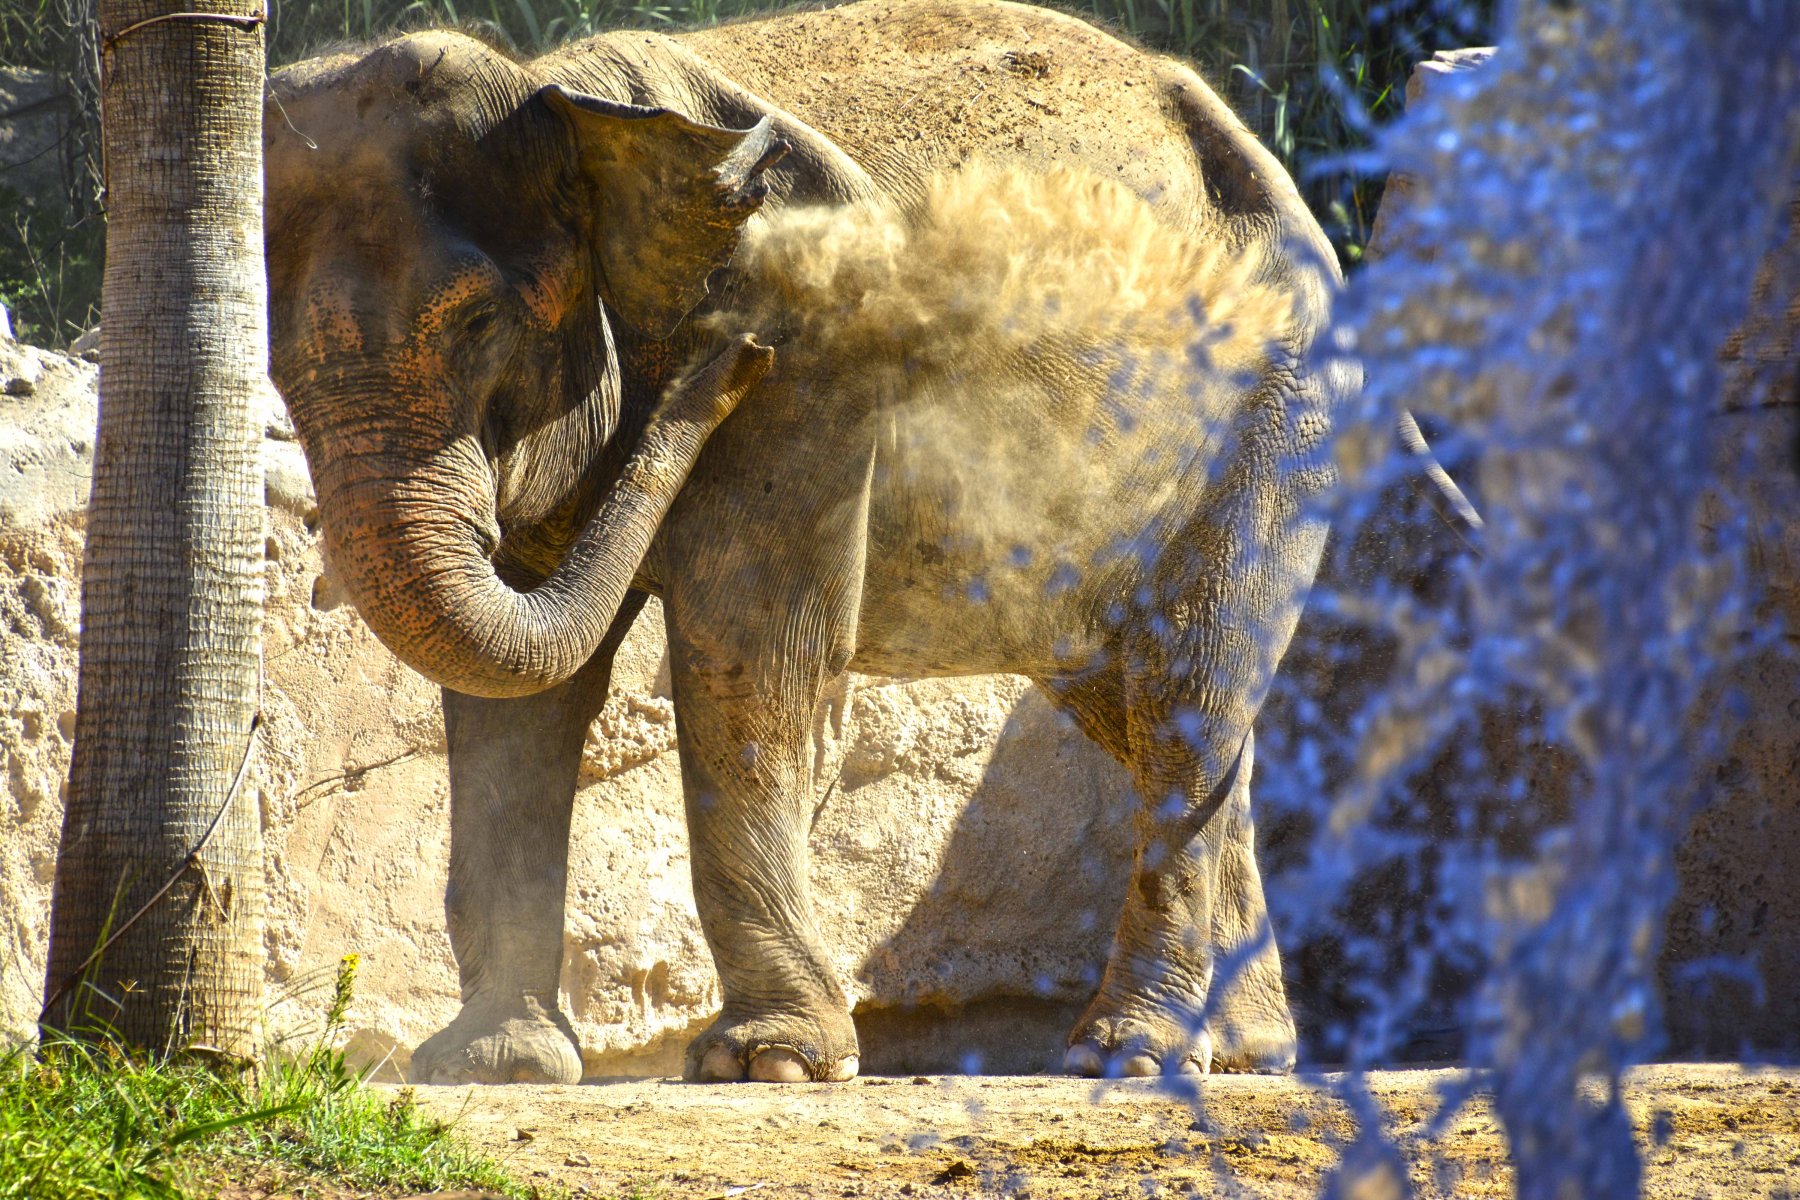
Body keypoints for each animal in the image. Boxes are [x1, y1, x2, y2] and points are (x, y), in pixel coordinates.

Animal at [261, 0, 1368, 1086]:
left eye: (479, 323)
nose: (722, 368)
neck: (575, 109)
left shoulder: (812, 351)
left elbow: (754, 658)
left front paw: (774, 1062)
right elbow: (522, 698)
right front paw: (494, 1065)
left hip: (1274, 419)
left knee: (1187, 689)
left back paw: (1133, 1056)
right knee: (1143, 704)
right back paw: (1246, 1053)